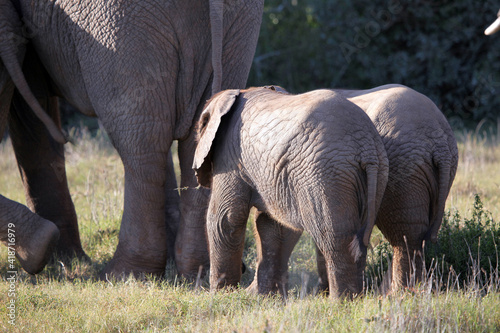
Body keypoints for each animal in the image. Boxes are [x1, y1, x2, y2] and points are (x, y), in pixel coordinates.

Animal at [0, 0, 264, 276]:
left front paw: (57, 258)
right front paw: (65, 259)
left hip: (116, 23)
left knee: (141, 147)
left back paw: (123, 273)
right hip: (239, 24)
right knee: (195, 139)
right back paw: (197, 271)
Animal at [193, 86, 388, 298]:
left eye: (199, 130)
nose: (244, 269)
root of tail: (367, 148)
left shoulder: (230, 156)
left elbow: (226, 218)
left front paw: (221, 295)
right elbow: (274, 226)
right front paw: (264, 297)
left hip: (324, 175)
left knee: (335, 237)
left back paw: (340, 301)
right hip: (374, 176)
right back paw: (353, 299)